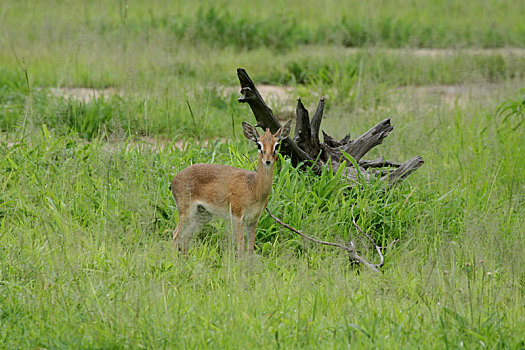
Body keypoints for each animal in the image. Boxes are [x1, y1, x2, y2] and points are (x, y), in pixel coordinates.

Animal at [170, 119, 290, 256]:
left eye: (277, 145)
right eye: (259, 145)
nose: (268, 161)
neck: (253, 187)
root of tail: (174, 180)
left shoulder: (253, 220)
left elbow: (250, 249)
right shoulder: (238, 218)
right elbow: (240, 247)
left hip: (203, 215)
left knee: (185, 236)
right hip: (186, 212)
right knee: (175, 234)